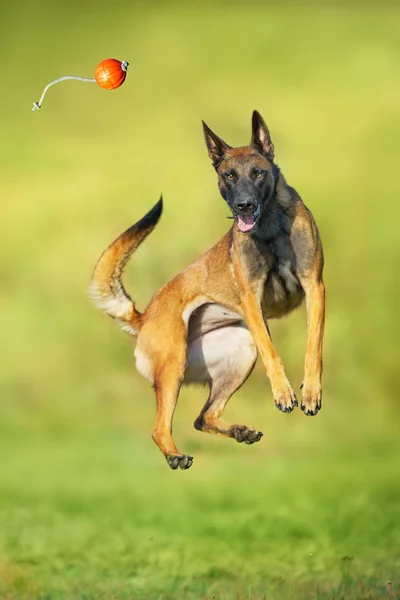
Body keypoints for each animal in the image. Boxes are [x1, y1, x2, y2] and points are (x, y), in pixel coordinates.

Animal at [90, 111, 324, 468]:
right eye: (229, 175)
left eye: (258, 173)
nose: (243, 206)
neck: (270, 227)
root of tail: (142, 318)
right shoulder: (252, 301)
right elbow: (273, 353)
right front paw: (283, 392)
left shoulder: (315, 288)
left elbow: (313, 347)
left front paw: (310, 392)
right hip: (175, 362)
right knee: (162, 428)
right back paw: (175, 456)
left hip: (239, 349)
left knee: (205, 417)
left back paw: (240, 432)